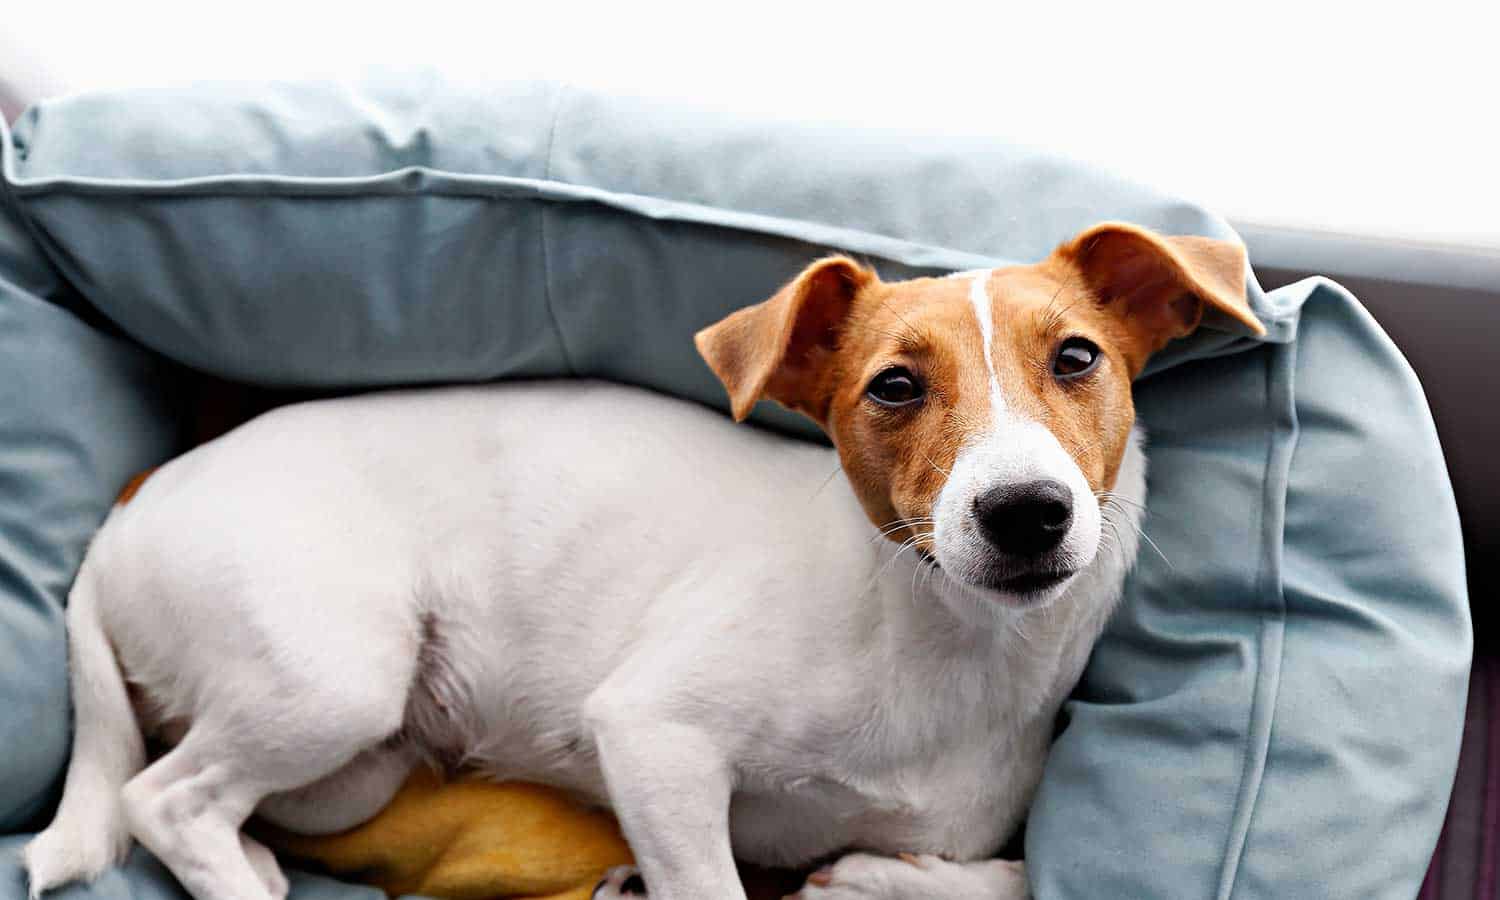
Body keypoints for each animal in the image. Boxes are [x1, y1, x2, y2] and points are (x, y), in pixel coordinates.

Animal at [23, 219, 1266, 900]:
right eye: (894, 386)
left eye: (1077, 358)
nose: (1024, 514)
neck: (941, 645)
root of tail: (134, 506)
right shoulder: (655, 739)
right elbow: (709, 881)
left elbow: (1015, 878)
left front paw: (871, 878)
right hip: (333, 679)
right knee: (160, 800)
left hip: (359, 761)